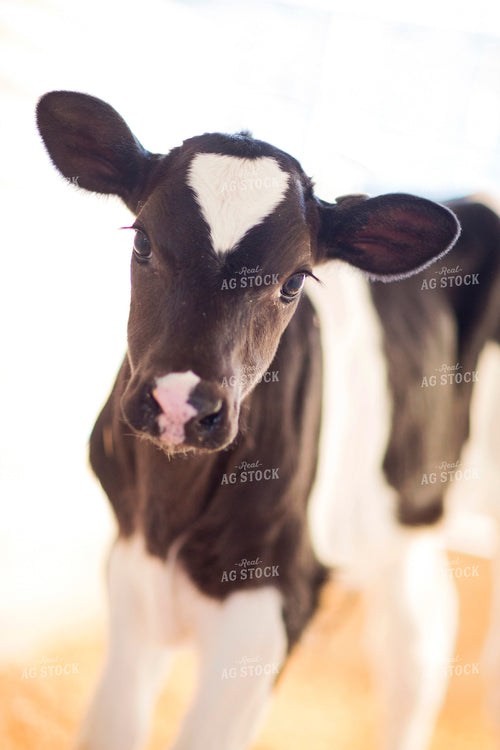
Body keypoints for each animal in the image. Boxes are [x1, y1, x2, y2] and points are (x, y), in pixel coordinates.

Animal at [36, 89, 500, 750]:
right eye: (143, 241)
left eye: (293, 281)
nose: (180, 402)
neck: (169, 518)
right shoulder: (130, 566)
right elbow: (110, 724)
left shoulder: (271, 606)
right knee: (419, 635)